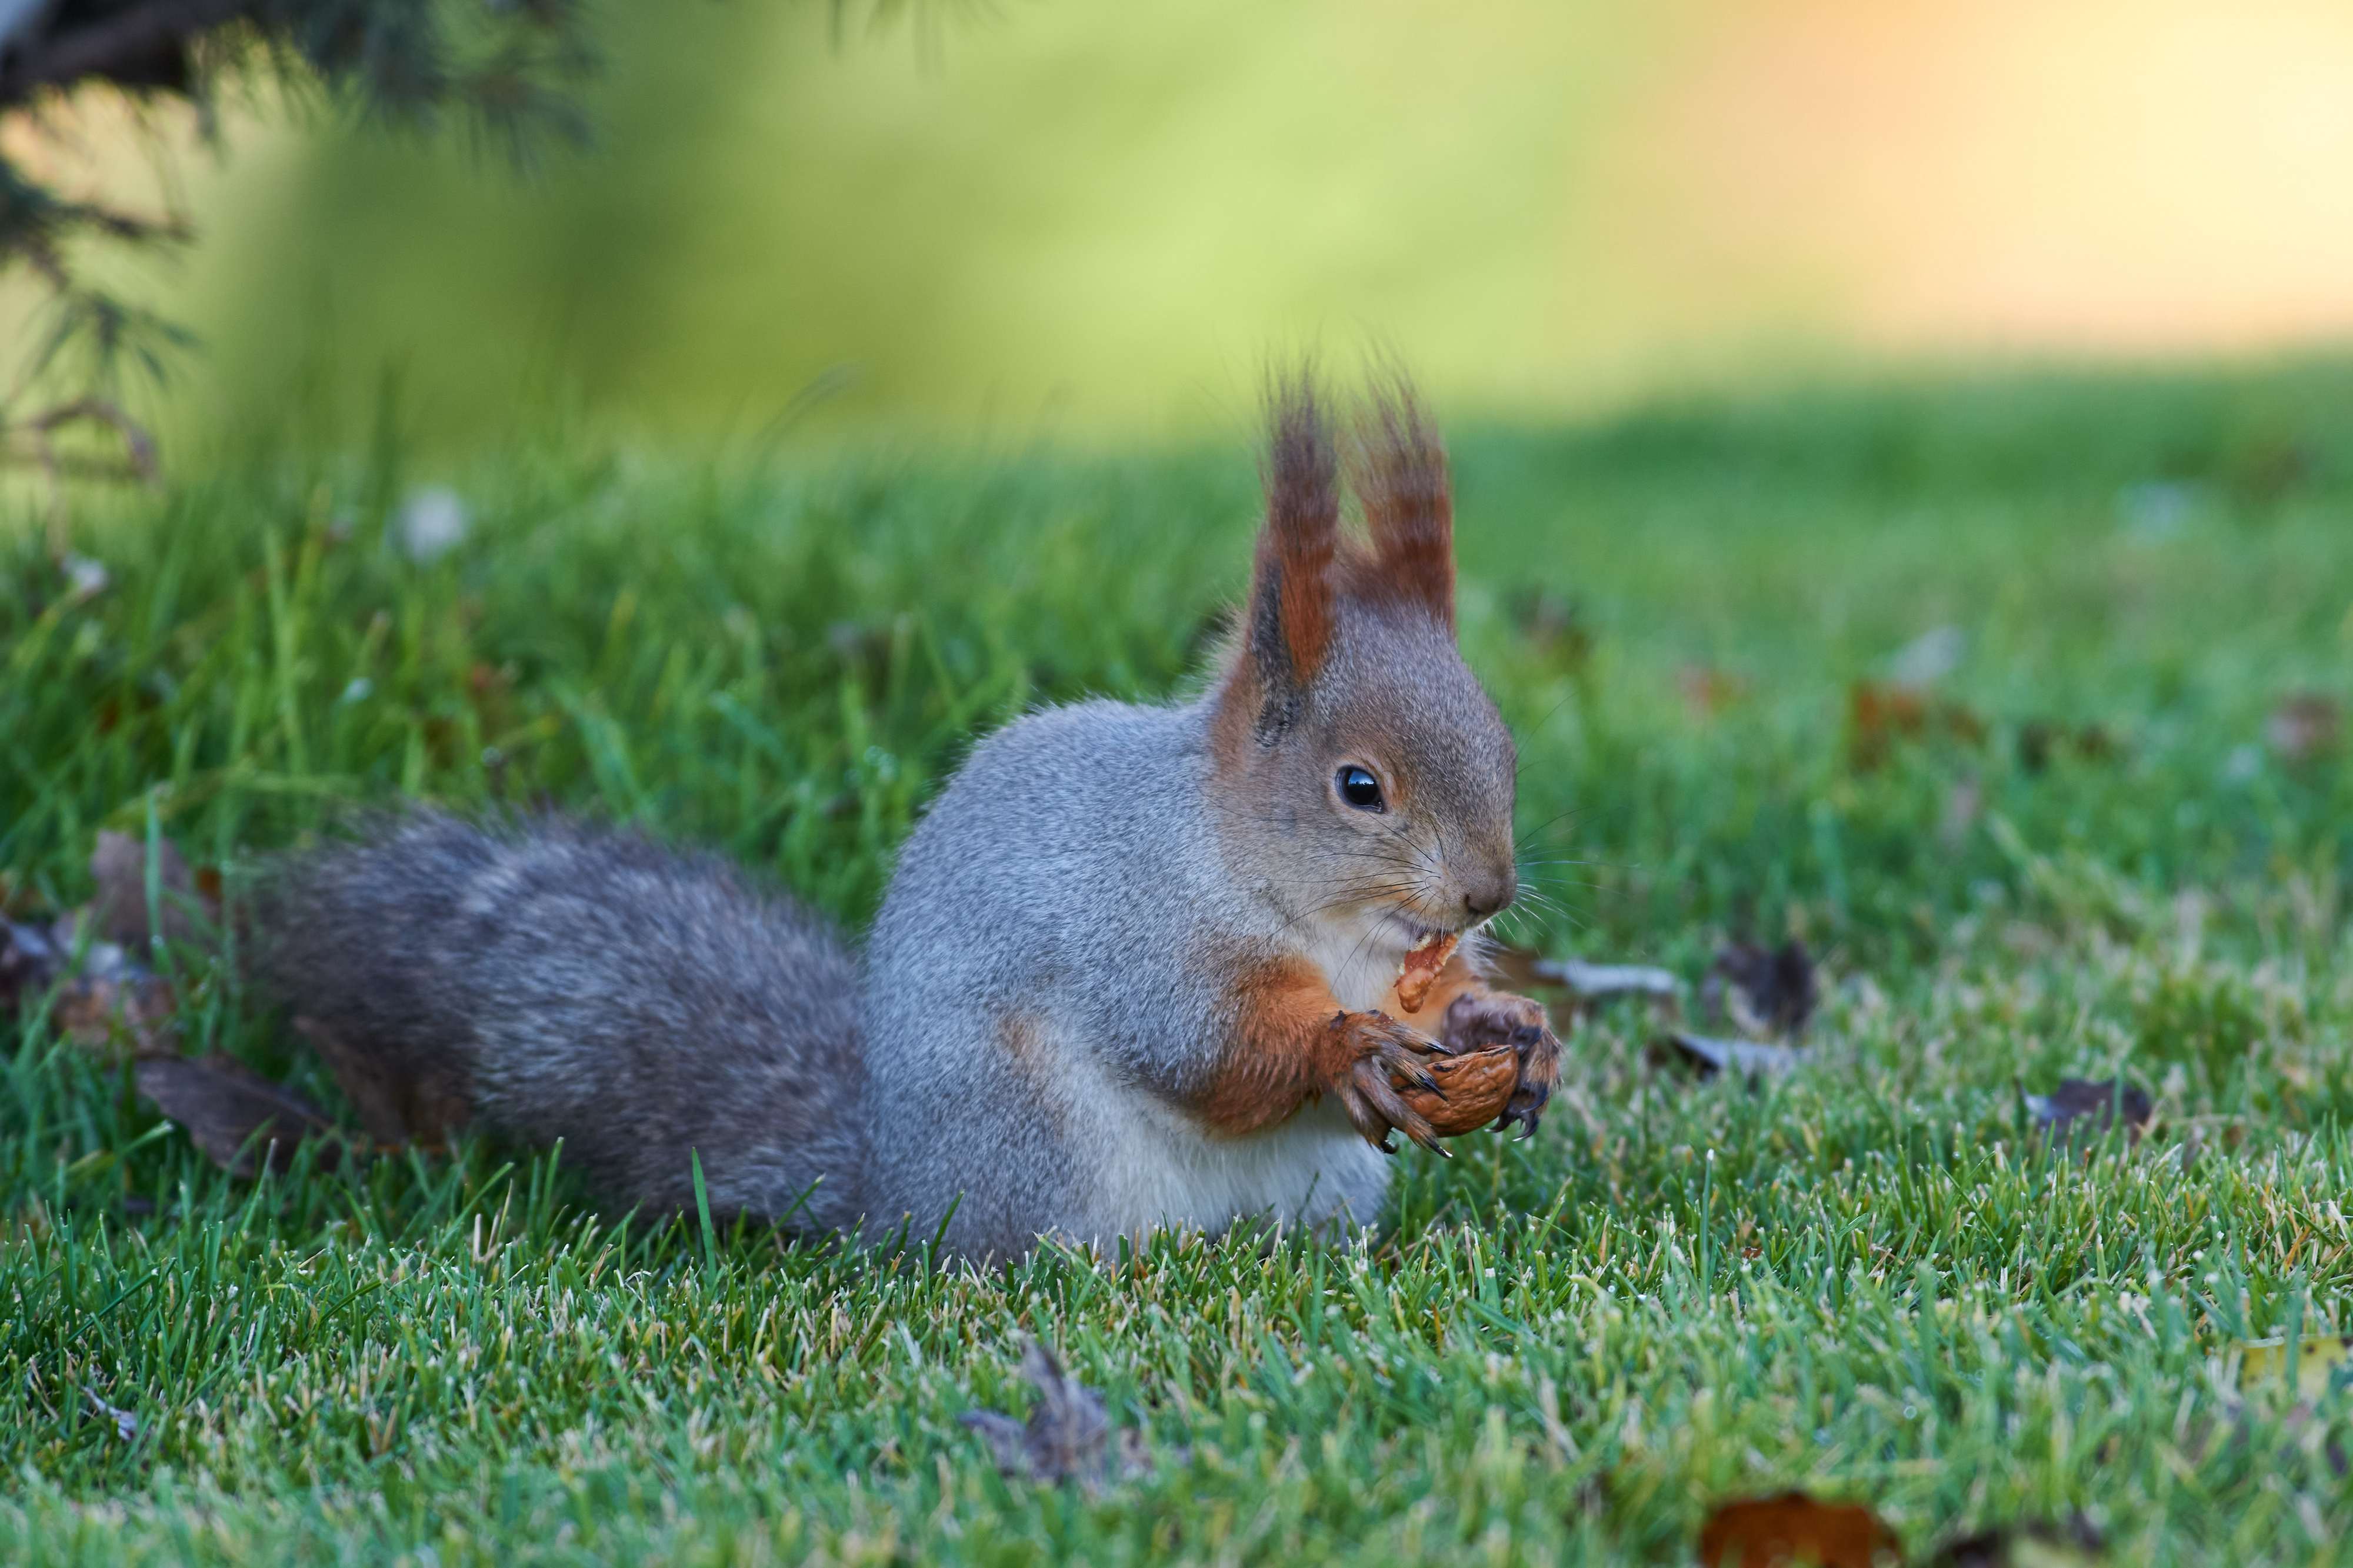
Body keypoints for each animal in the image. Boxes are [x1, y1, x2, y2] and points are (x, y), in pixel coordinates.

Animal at [262, 376, 1562, 1262]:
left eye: (1503, 744)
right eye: (1359, 788)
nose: (1486, 893)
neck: (1318, 916)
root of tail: (897, 1190)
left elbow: (1436, 1004)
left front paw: (1508, 1023)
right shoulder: (1137, 933)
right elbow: (1204, 1044)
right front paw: (1346, 1048)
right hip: (1036, 1146)